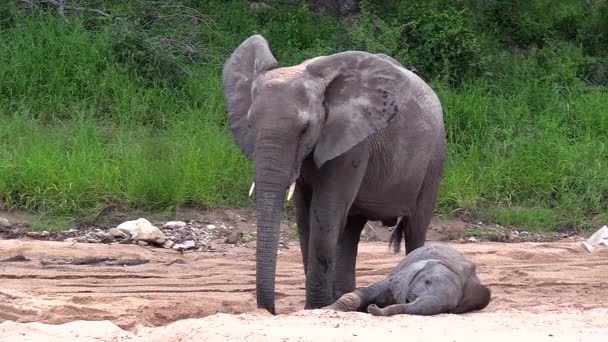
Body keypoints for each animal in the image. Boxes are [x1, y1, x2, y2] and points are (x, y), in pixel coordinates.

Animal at [221, 35, 444, 316]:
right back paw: (343, 299)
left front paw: (315, 308)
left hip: (434, 158)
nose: (268, 311)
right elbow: (305, 219)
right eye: (250, 124)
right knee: (351, 228)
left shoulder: (352, 144)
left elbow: (324, 214)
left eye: (305, 128)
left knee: (416, 227)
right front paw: (318, 306)